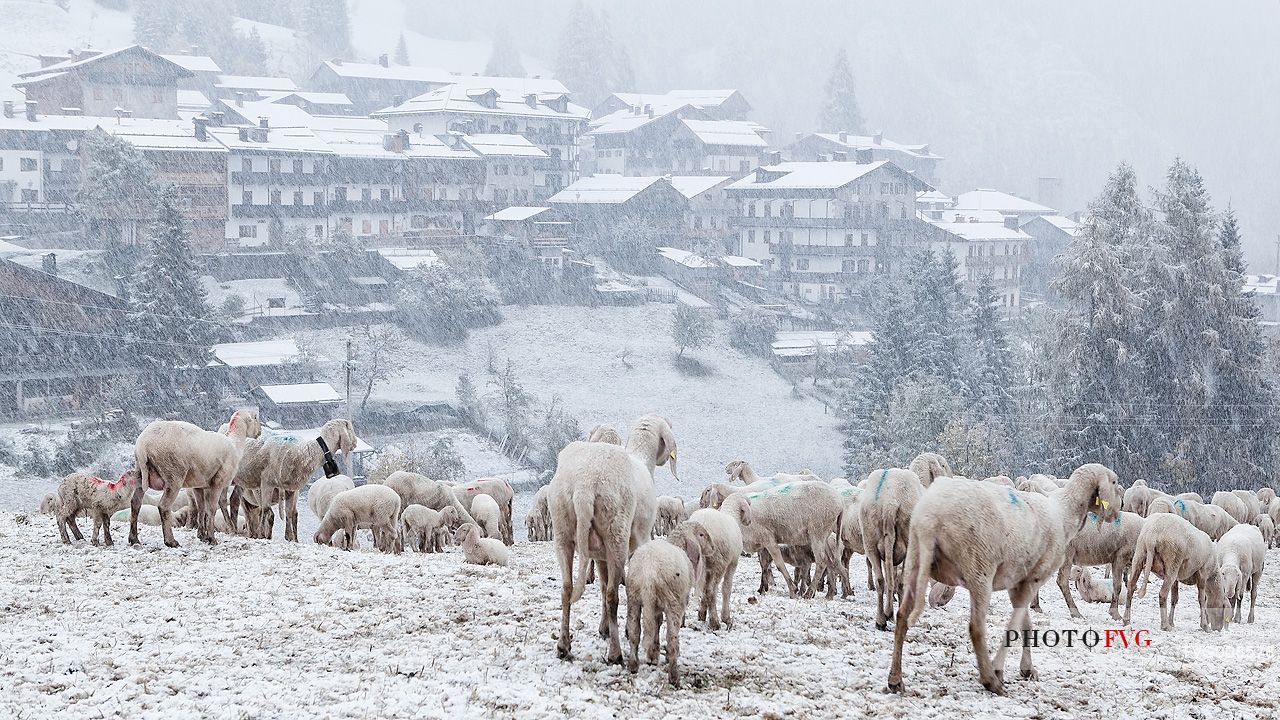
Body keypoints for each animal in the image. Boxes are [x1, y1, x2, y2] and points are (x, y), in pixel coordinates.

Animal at [129, 407, 259, 545]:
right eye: (256, 418)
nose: (259, 432)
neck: (235, 443)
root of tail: (143, 445)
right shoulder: (219, 482)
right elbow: (213, 508)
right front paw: (213, 538)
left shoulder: (199, 484)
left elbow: (201, 508)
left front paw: (202, 535)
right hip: (173, 474)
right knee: (163, 506)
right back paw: (171, 541)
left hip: (140, 472)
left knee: (135, 503)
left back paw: (134, 538)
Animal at [550, 412, 680, 661]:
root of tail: (585, 484)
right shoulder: (641, 539)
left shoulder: (600, 553)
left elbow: (602, 585)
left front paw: (604, 629)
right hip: (616, 532)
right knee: (613, 595)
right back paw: (615, 653)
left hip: (563, 531)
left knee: (567, 587)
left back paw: (563, 645)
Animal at [622, 530, 701, 686]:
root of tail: (649, 570)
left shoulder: (655, 606)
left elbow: (656, 623)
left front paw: (653, 654)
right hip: (672, 602)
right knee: (672, 638)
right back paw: (674, 676)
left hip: (633, 597)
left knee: (634, 631)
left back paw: (633, 665)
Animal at [860, 466, 921, 627]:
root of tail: (889, 502)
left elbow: (889, 578)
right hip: (908, 542)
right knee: (901, 581)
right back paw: (896, 615)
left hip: (870, 542)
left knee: (881, 580)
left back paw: (881, 619)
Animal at [890, 461, 1121, 691]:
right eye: (1114, 482)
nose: (1117, 511)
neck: (1064, 513)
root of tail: (931, 517)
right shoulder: (1034, 577)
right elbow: (1013, 624)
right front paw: (998, 670)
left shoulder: (1018, 580)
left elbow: (1025, 622)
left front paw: (1027, 669)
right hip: (979, 570)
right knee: (976, 627)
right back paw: (989, 679)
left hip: (915, 561)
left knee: (902, 615)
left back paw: (895, 679)